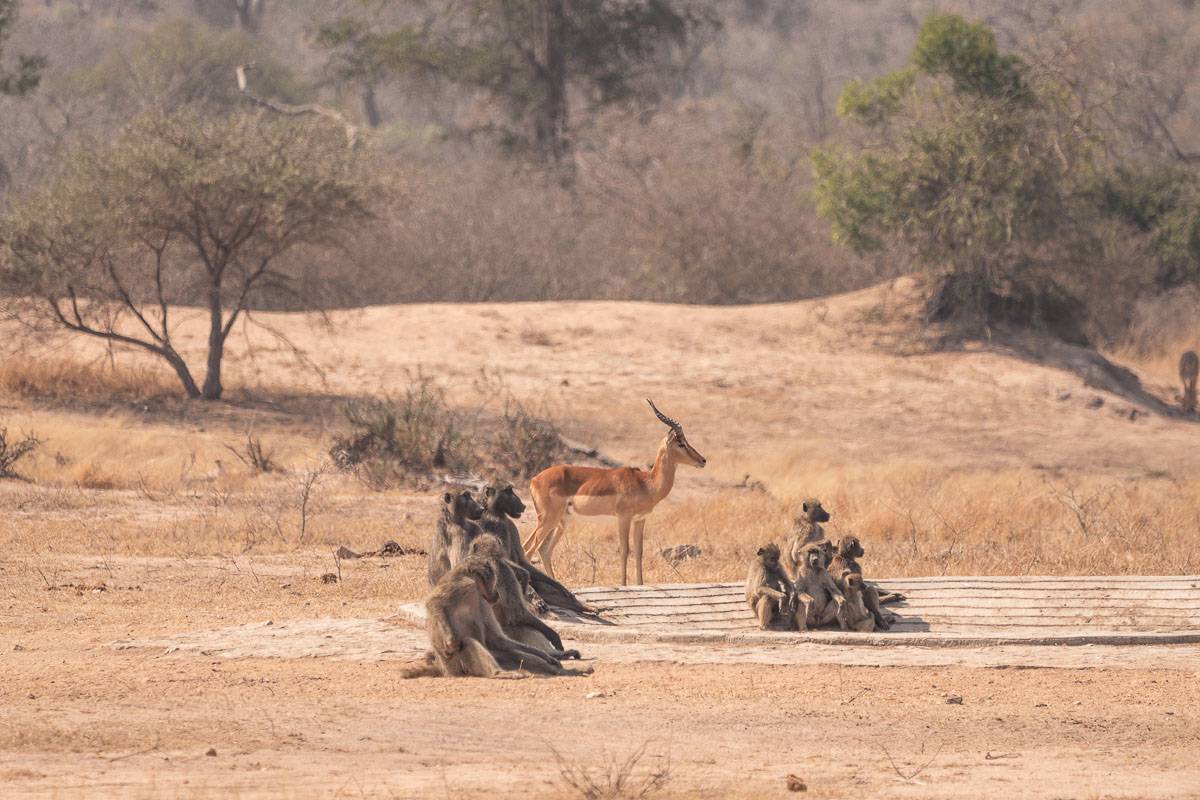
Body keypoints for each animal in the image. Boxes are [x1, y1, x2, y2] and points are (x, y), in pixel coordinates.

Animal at [523, 402, 700, 585]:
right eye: (681, 443)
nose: (702, 460)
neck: (646, 483)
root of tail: (535, 479)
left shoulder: (640, 519)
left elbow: (639, 551)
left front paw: (640, 584)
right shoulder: (623, 518)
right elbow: (624, 550)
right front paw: (623, 585)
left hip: (560, 521)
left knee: (542, 550)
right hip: (549, 519)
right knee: (529, 550)